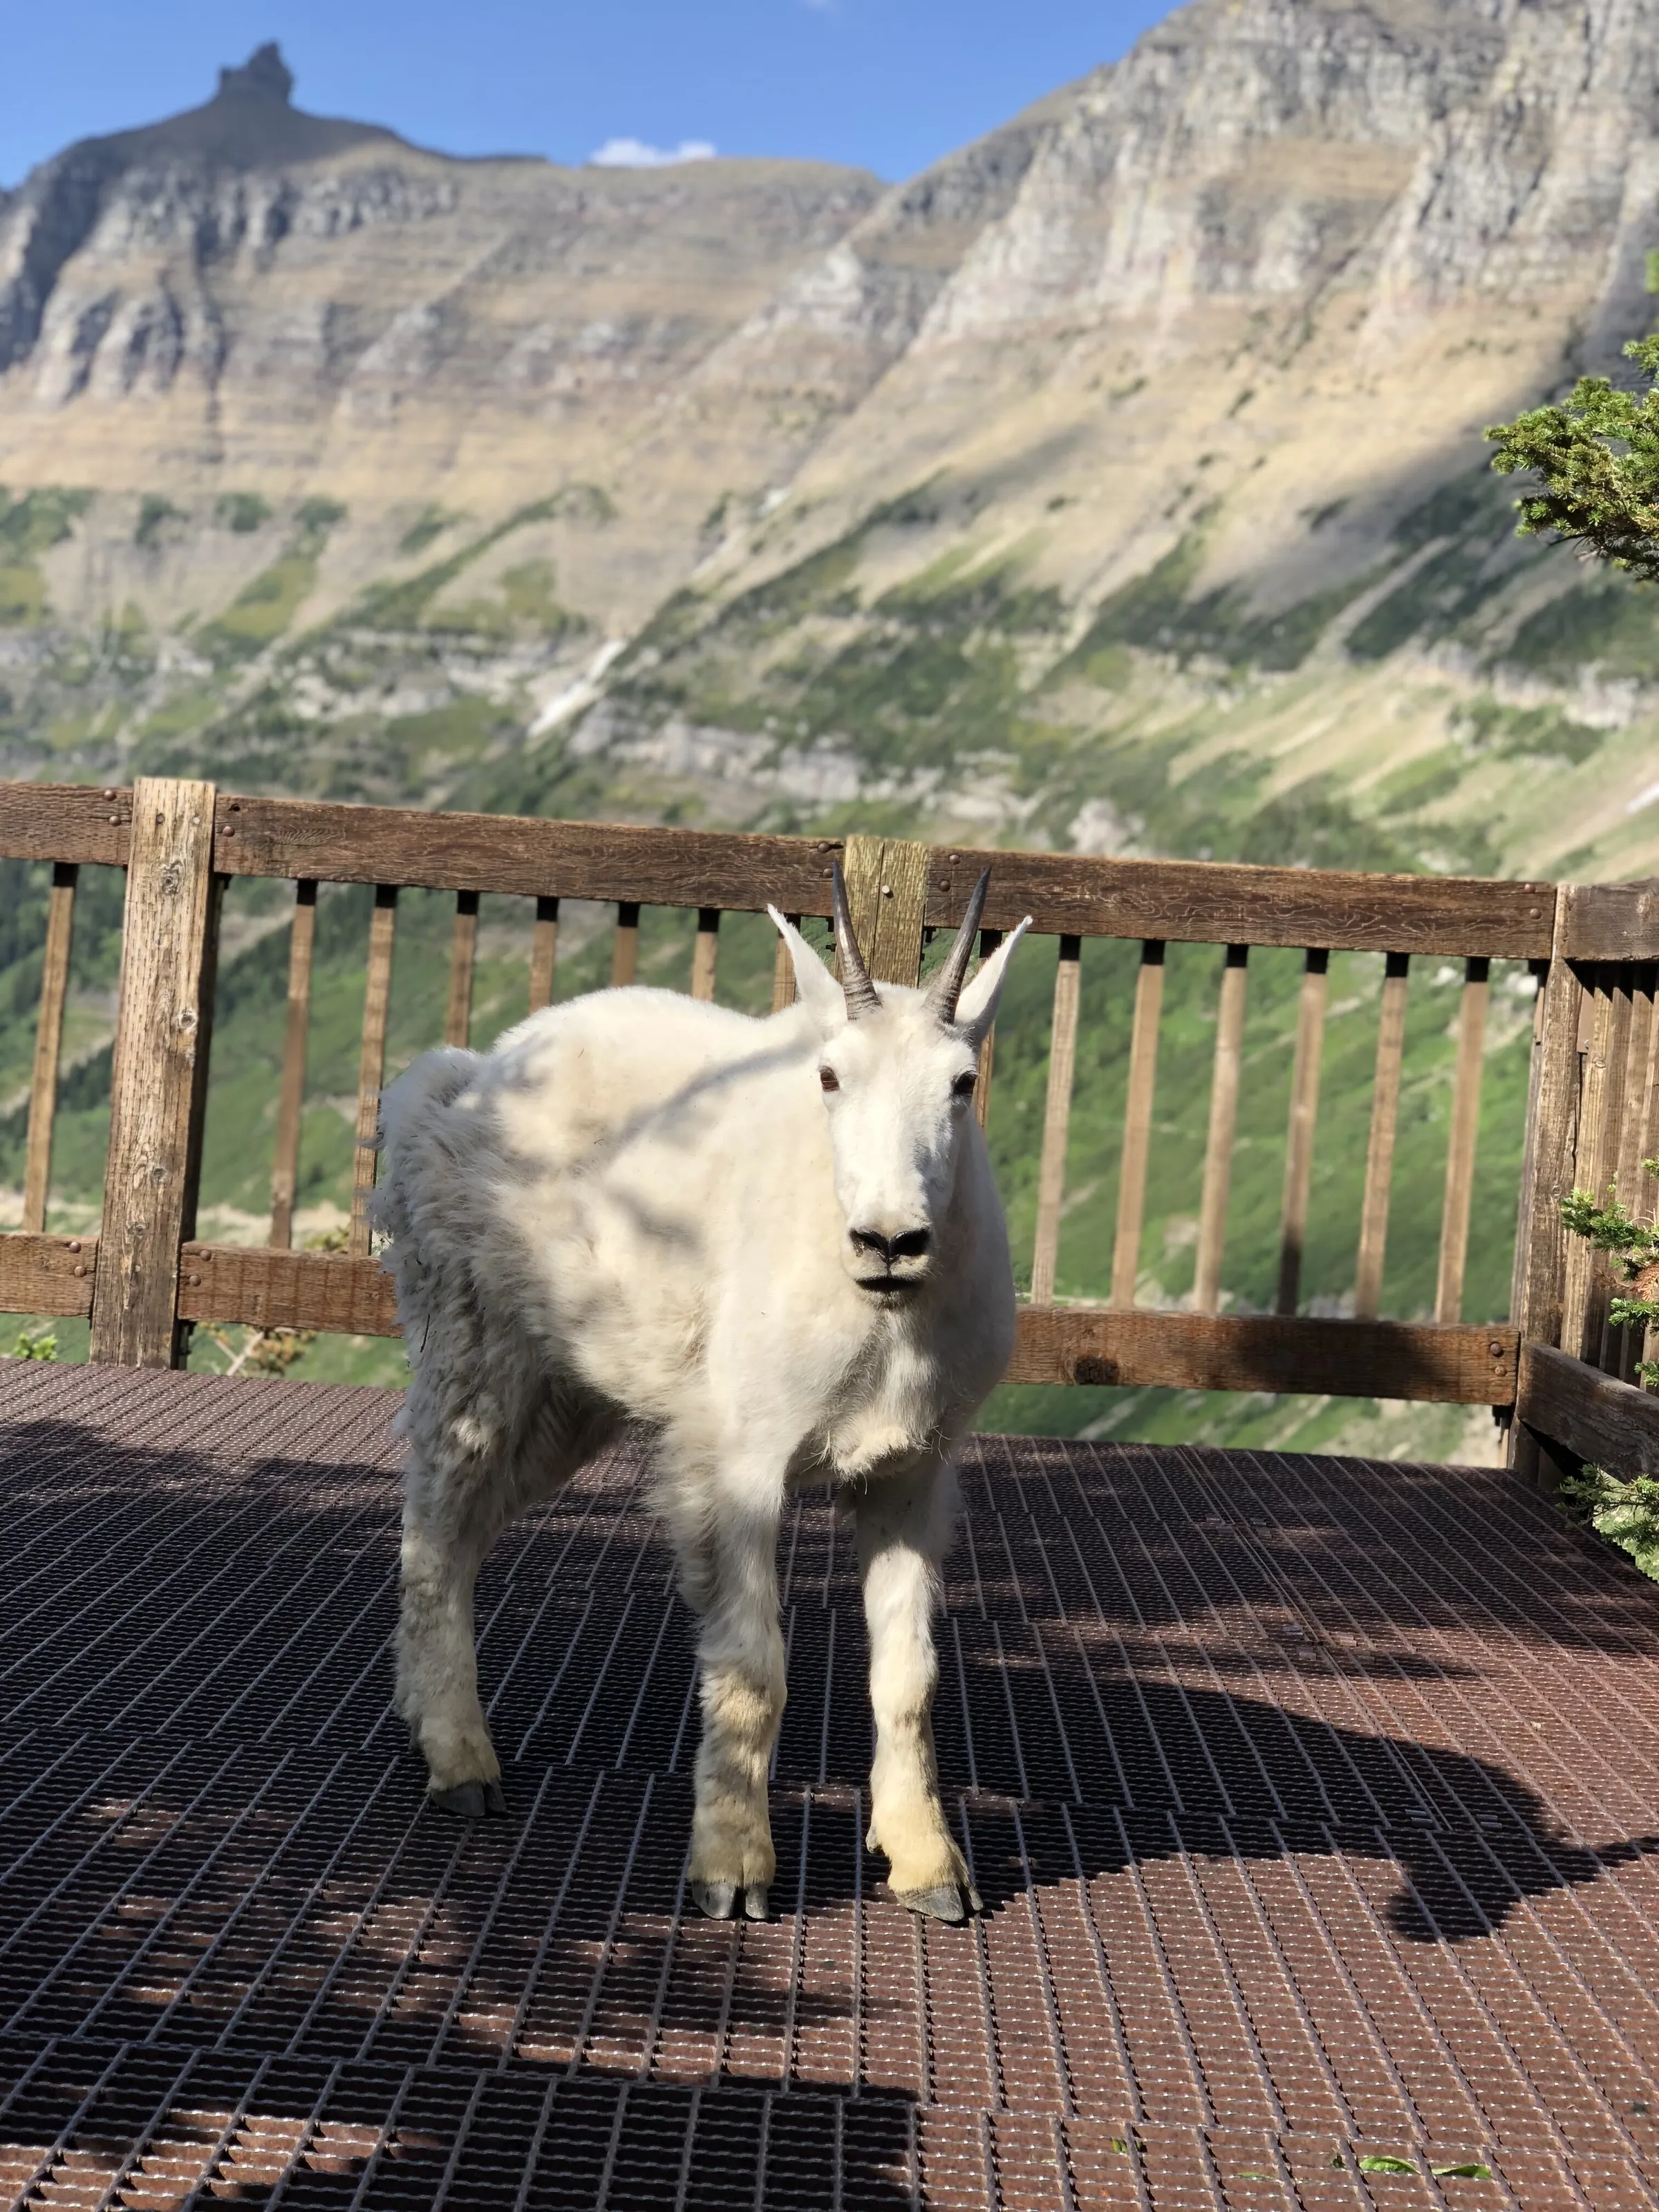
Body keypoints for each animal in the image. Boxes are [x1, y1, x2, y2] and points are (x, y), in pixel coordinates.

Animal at [372, 864, 1030, 1922]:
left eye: (962, 1083)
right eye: (829, 1076)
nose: (888, 1240)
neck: (883, 1318)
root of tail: (459, 1082)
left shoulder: (911, 1472)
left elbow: (908, 1677)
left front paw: (929, 1866)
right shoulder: (740, 1461)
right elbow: (754, 1667)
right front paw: (733, 1873)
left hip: (574, 1395)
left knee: (471, 1530)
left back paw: (419, 1708)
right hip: (474, 1344)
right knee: (434, 1524)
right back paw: (460, 1759)